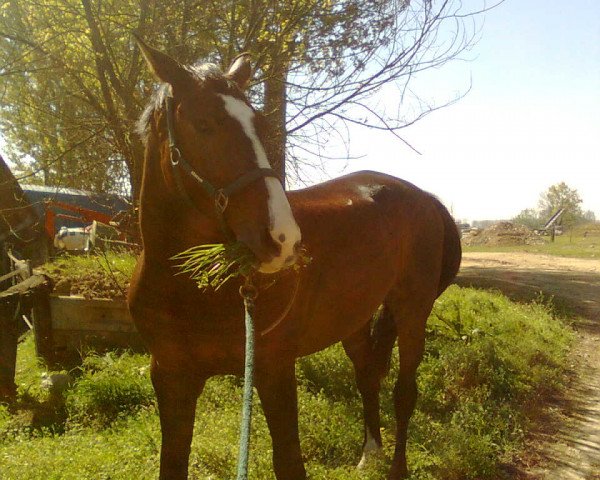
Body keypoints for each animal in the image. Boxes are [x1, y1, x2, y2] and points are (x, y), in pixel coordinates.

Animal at [129, 38, 462, 480]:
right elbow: (173, 463)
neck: (189, 291)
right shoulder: (170, 377)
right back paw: (368, 451)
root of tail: (425, 197)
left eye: (261, 127)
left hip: (412, 310)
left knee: (404, 391)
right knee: (367, 374)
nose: (282, 239)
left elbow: (289, 460)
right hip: (354, 317)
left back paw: (396, 468)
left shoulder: (274, 370)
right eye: (203, 124)